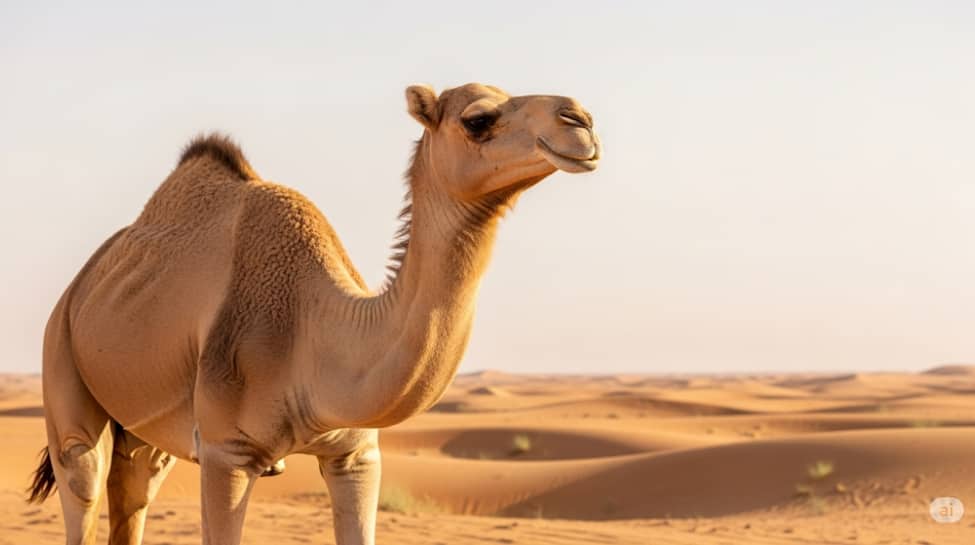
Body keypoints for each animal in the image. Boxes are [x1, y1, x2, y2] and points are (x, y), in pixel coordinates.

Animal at [29, 82, 600, 545]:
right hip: (61, 357)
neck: (313, 332)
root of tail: (79, 286)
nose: (580, 120)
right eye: (478, 119)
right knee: (82, 477)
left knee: (135, 488)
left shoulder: (356, 455)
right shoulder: (225, 452)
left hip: (147, 432)